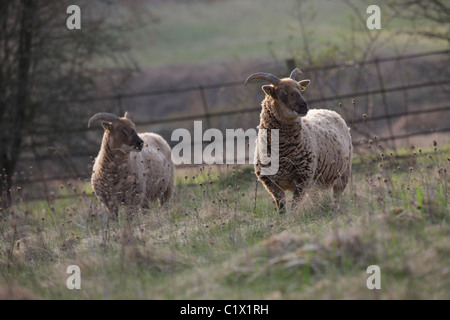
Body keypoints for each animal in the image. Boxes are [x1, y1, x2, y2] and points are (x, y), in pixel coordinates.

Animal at [244, 68, 354, 215]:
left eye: (299, 89)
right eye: (281, 92)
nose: (304, 106)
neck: (282, 152)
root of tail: (326, 110)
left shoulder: (302, 180)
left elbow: (294, 206)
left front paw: (291, 218)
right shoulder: (272, 184)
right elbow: (281, 207)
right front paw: (283, 219)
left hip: (342, 174)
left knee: (336, 197)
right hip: (318, 181)